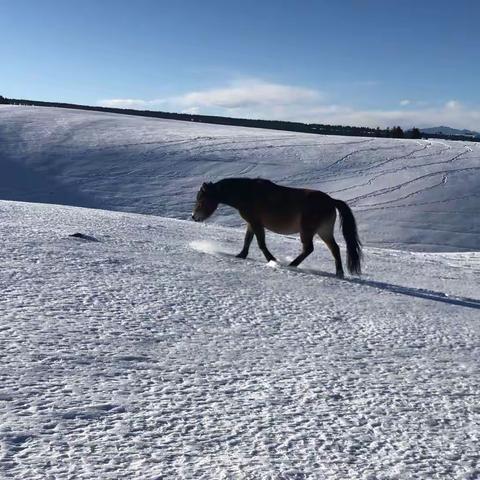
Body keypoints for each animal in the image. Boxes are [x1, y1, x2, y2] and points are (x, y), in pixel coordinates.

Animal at [190, 177, 360, 278]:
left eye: (201, 200)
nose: (194, 217)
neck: (247, 193)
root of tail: (331, 201)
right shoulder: (251, 223)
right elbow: (247, 240)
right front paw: (241, 255)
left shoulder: (256, 223)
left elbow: (261, 243)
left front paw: (272, 260)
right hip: (324, 231)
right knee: (334, 249)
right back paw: (339, 273)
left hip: (307, 231)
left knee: (309, 249)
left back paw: (292, 265)